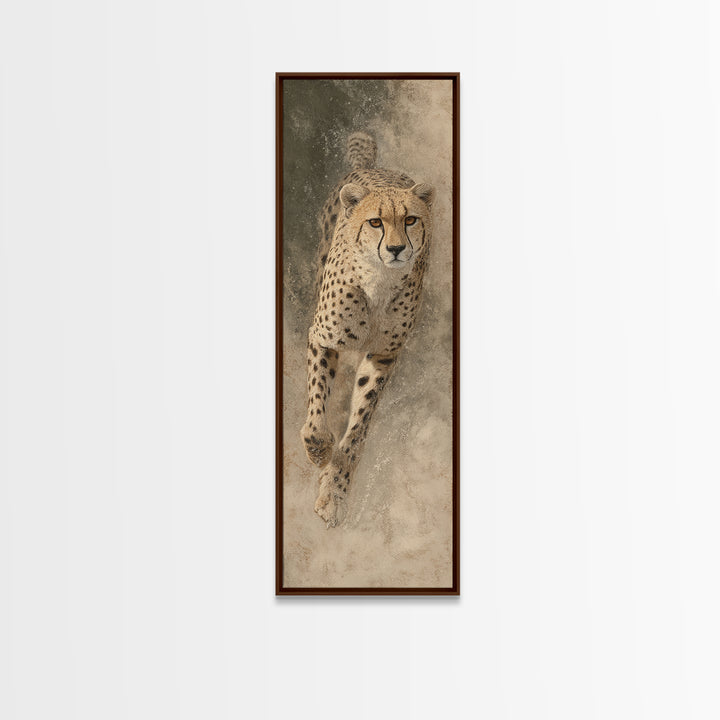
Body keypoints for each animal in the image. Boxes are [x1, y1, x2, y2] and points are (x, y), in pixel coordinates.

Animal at [300, 132, 435, 527]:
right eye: (375, 222)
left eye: (410, 219)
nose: (396, 249)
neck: (379, 279)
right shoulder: (323, 338)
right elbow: (318, 398)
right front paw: (318, 448)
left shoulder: (383, 355)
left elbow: (358, 425)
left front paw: (334, 492)